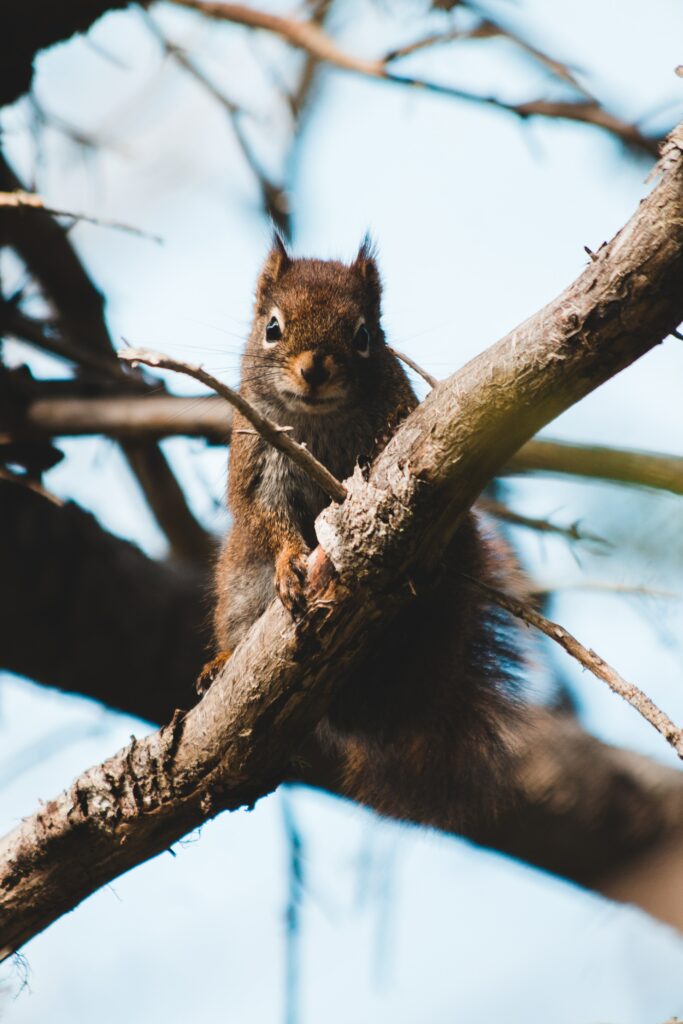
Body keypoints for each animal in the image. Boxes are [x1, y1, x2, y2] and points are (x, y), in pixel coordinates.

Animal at [211, 235, 526, 831]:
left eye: (362, 337)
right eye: (272, 327)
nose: (313, 370)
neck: (320, 419)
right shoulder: (257, 456)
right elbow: (263, 513)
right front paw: (290, 561)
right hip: (239, 583)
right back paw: (216, 665)